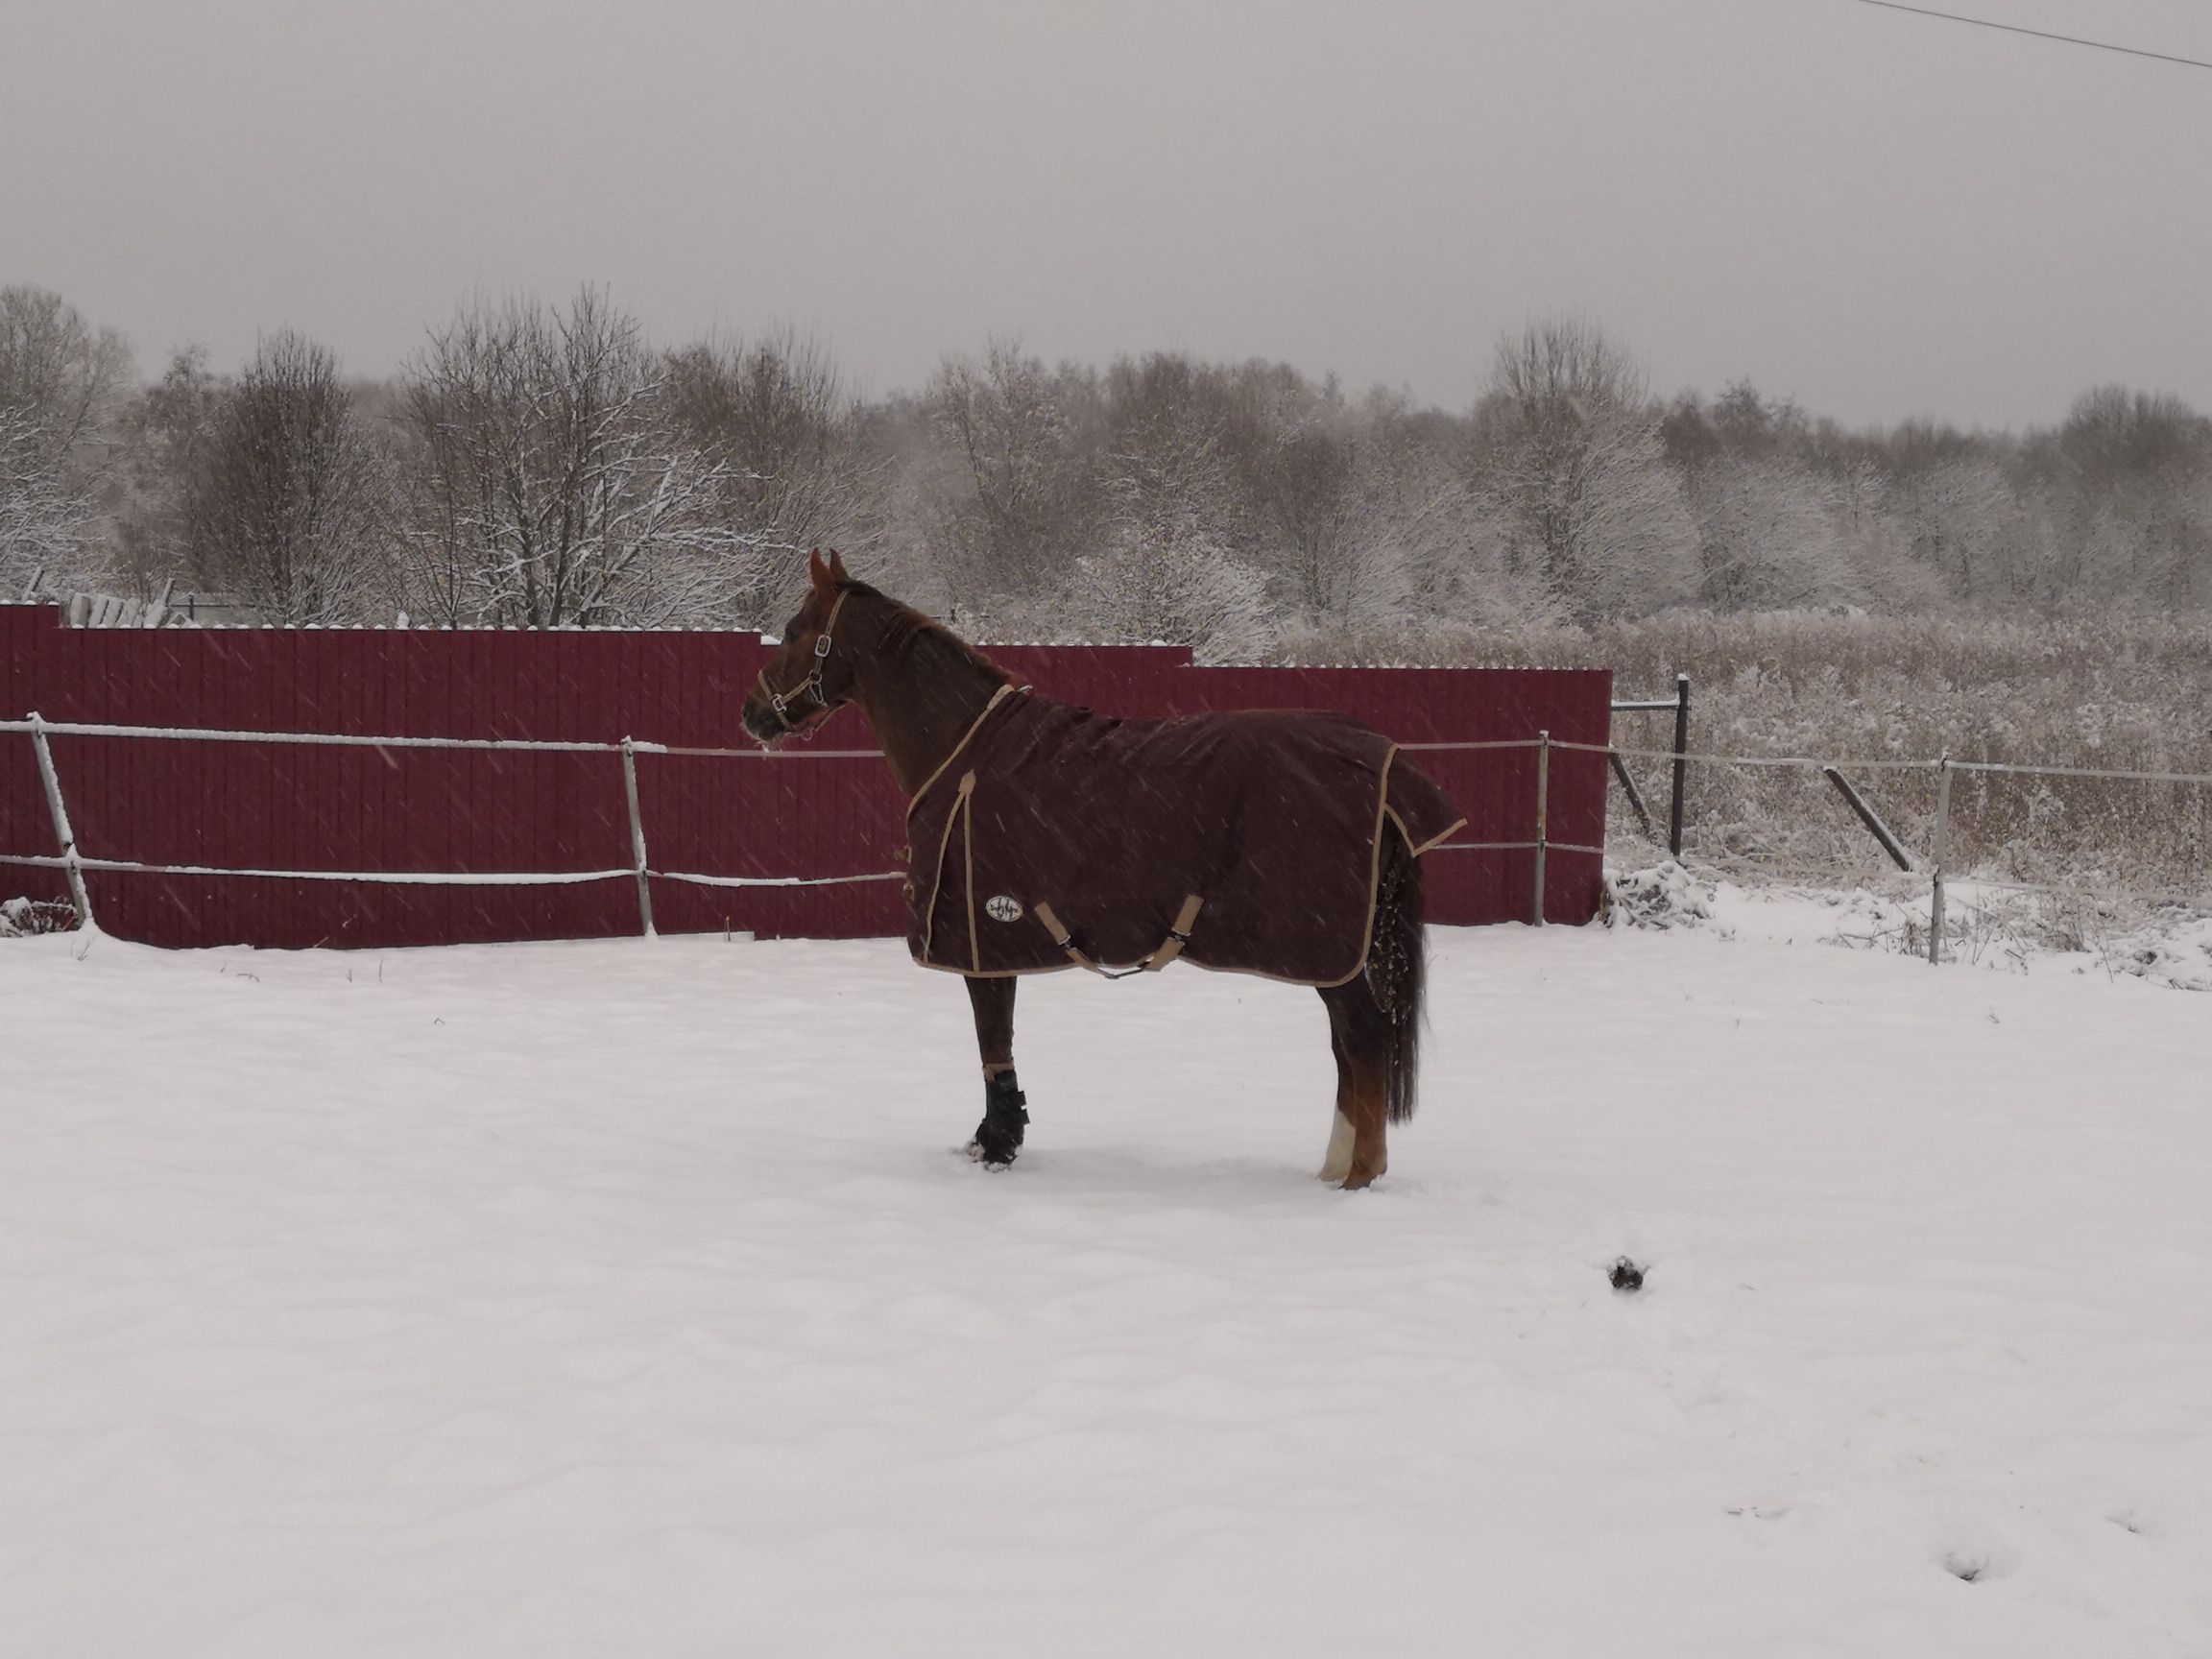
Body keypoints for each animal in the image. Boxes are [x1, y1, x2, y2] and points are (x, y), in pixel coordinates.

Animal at [739, 550, 1466, 1189]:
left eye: (797, 628)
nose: (751, 714)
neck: (962, 751)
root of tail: (1382, 760)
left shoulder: (981, 940)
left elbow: (992, 1042)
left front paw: (995, 1147)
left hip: (1326, 951)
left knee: (1363, 1038)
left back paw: (1359, 1176)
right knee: (1349, 1047)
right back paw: (1335, 1166)